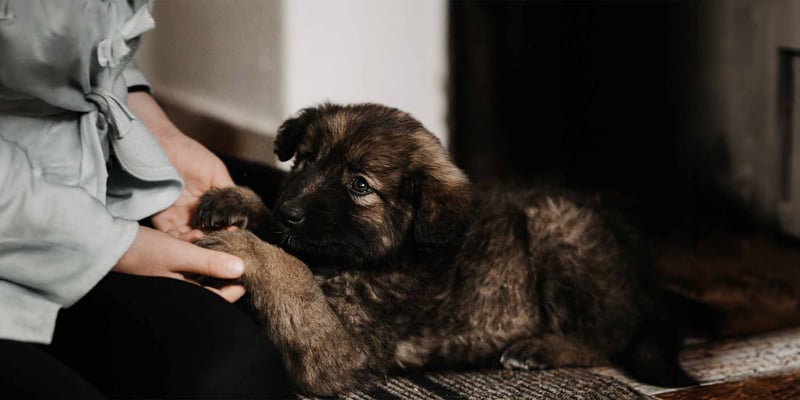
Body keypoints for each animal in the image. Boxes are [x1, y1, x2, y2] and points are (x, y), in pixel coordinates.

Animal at [197, 101, 696, 396]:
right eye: (305, 160)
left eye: (360, 186)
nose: (291, 212)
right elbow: (289, 251)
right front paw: (237, 201)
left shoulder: (343, 351)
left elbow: (292, 273)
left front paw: (243, 244)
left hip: (555, 223)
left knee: (608, 339)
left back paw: (539, 349)